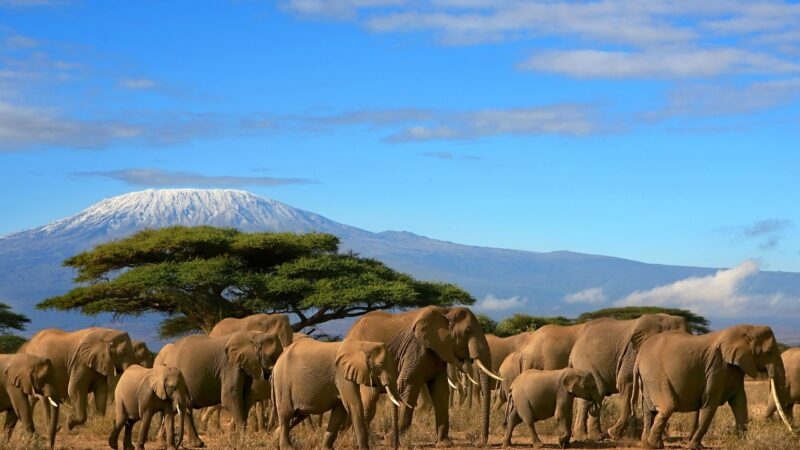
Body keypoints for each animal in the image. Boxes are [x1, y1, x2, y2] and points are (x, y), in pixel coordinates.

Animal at [154, 330, 283, 447]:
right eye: (272, 358)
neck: (255, 335)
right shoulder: (230, 365)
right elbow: (229, 396)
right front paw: (242, 443)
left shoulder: (245, 366)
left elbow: (245, 398)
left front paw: (237, 440)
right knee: (185, 406)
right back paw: (194, 444)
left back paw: (168, 443)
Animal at [272, 338, 403, 450]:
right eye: (380, 366)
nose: (395, 446)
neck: (363, 345)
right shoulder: (341, 374)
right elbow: (354, 406)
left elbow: (339, 411)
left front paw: (328, 448)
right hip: (283, 383)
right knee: (286, 414)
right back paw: (287, 447)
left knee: (297, 415)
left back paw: (275, 442)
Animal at [345, 305, 502, 447]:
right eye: (467, 331)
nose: (482, 442)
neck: (446, 311)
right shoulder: (417, 349)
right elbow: (408, 385)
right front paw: (389, 440)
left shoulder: (437, 351)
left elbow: (440, 390)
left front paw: (444, 443)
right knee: (370, 398)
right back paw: (356, 440)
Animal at [634, 324, 793, 449]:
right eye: (769, 353)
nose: (793, 433)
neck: (747, 330)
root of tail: (638, 357)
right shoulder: (717, 368)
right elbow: (710, 403)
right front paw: (694, 446)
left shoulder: (734, 369)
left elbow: (740, 403)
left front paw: (742, 443)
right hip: (655, 374)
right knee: (667, 406)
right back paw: (653, 445)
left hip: (648, 380)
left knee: (649, 411)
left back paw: (646, 444)